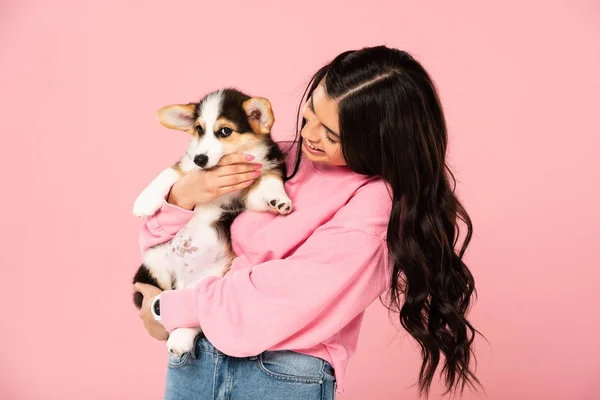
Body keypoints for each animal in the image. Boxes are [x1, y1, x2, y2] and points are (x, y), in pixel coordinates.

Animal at [131, 89, 292, 354]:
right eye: (198, 129)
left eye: (225, 131)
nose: (200, 159)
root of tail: (182, 282)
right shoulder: (186, 169)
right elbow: (170, 173)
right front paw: (144, 201)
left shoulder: (256, 185)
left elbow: (269, 182)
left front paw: (279, 200)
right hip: (153, 266)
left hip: (215, 279)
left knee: (195, 312)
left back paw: (179, 340)